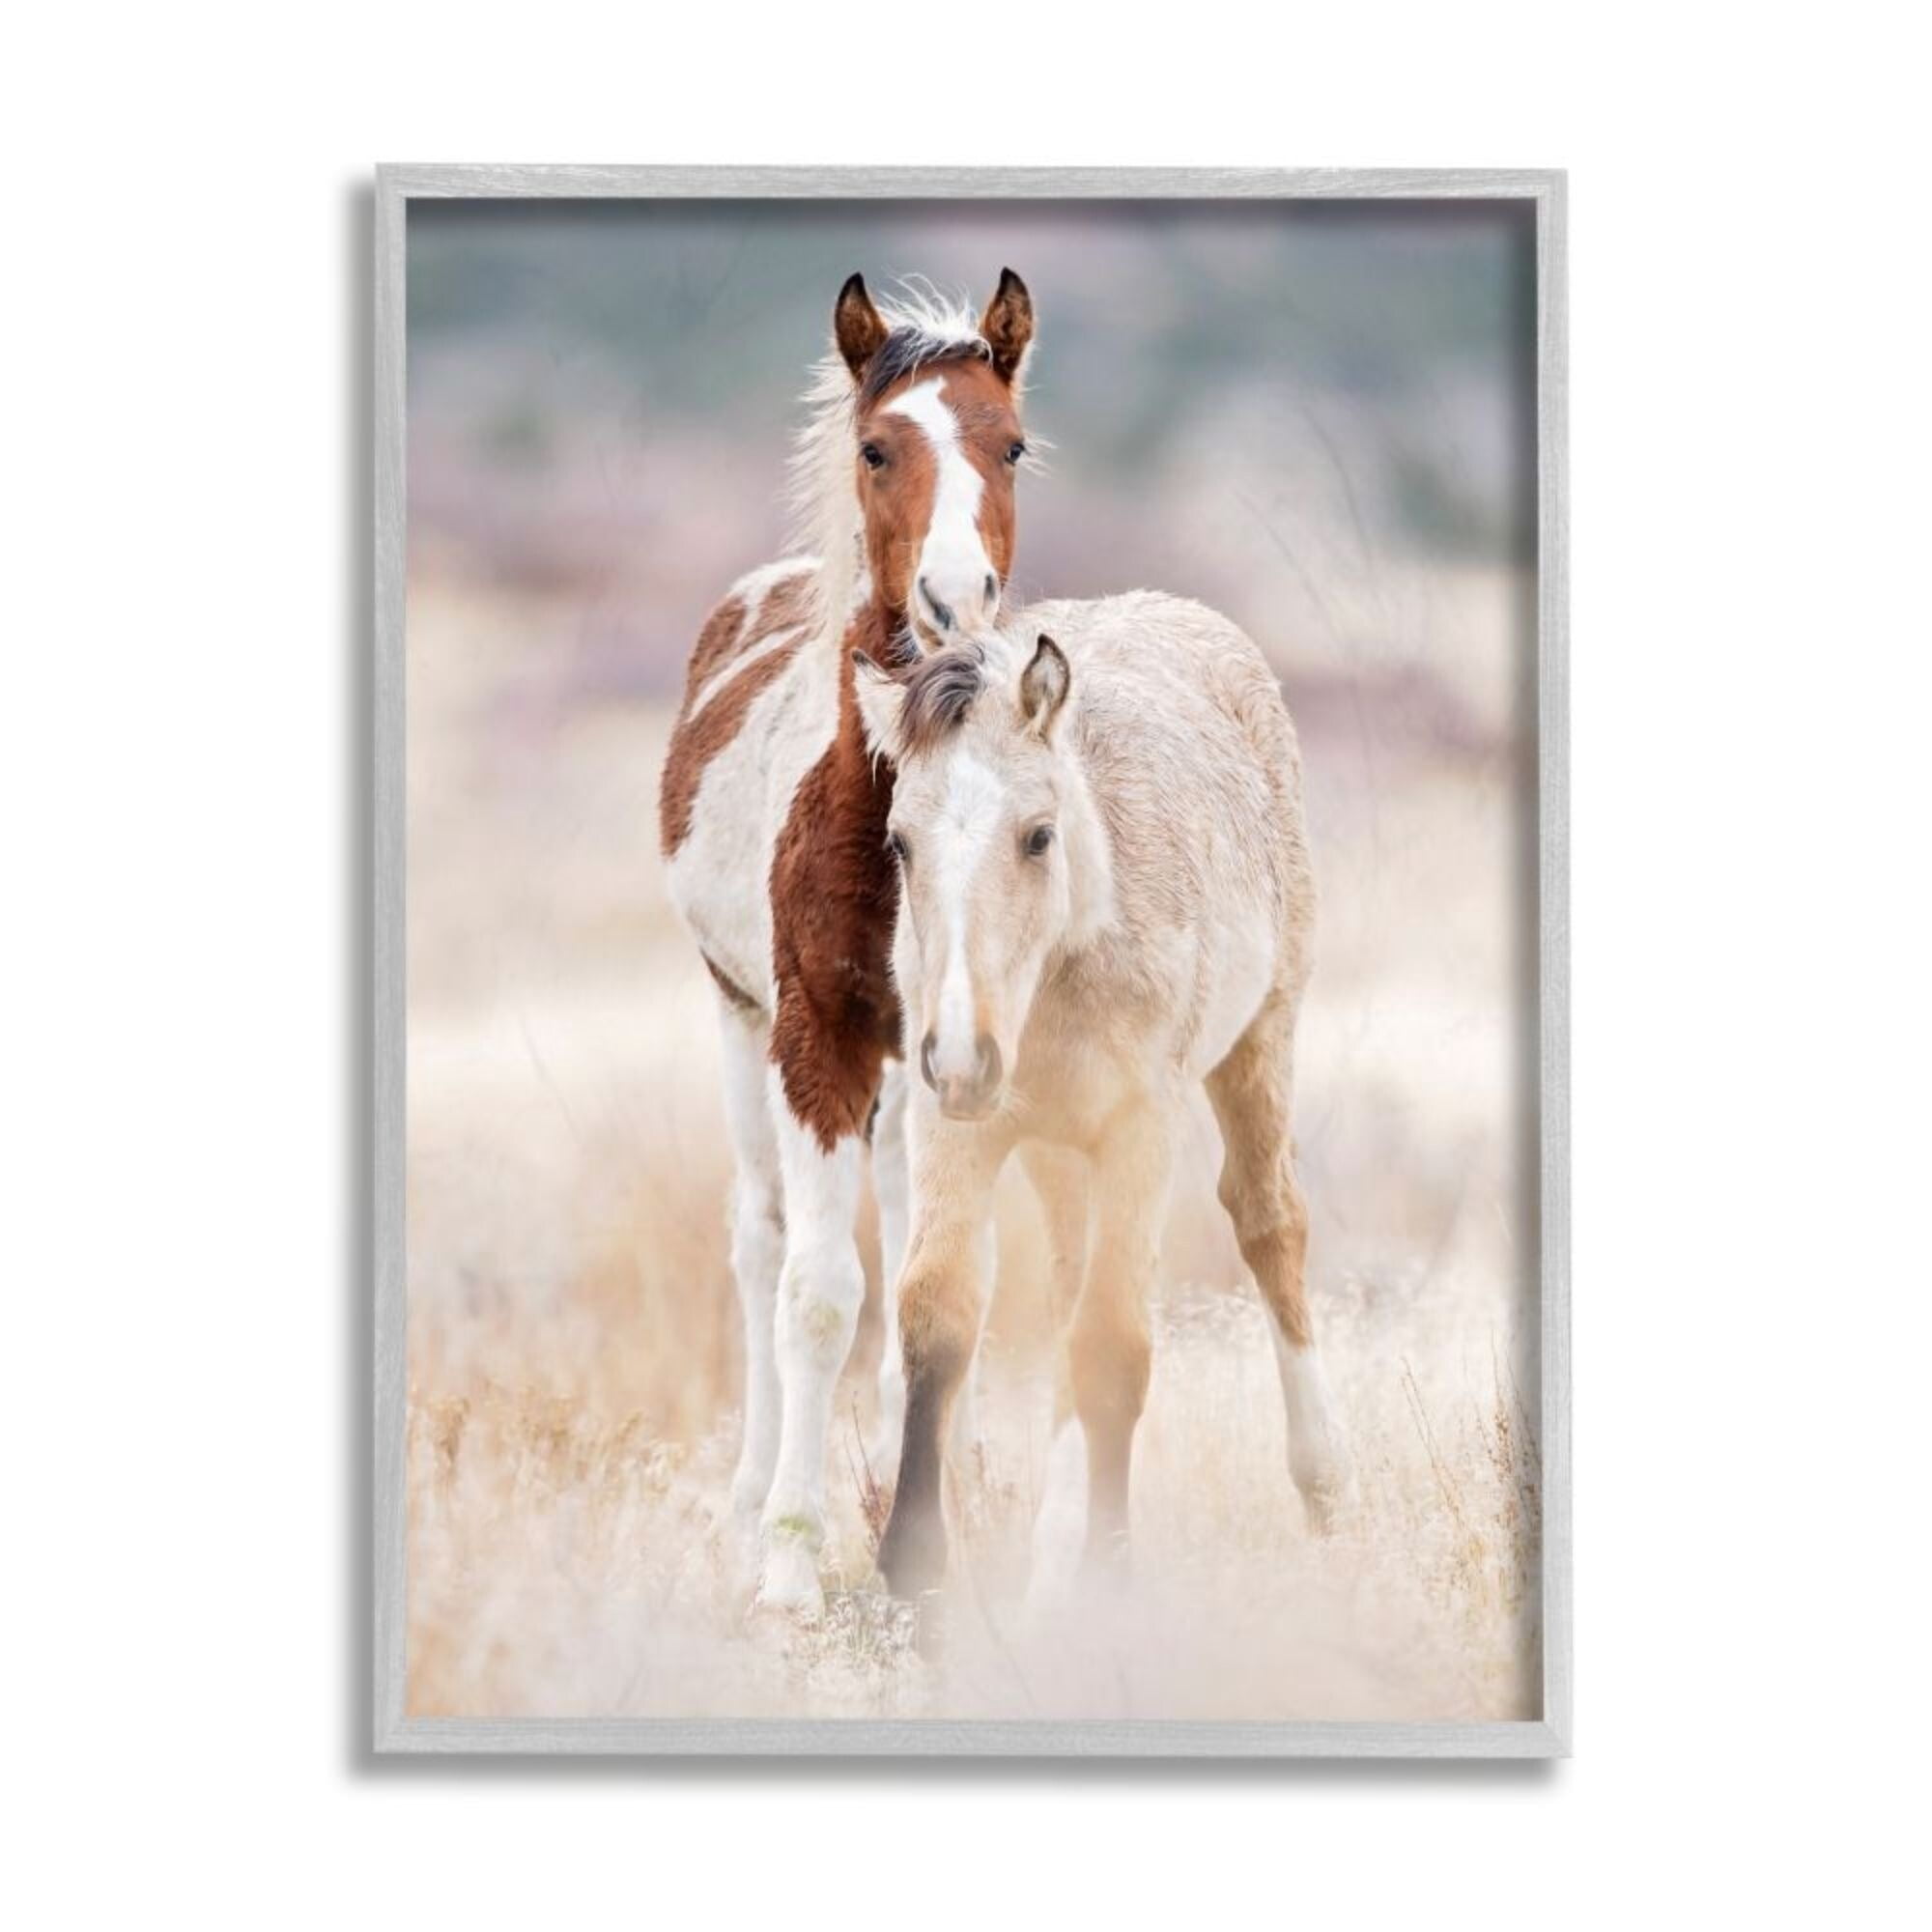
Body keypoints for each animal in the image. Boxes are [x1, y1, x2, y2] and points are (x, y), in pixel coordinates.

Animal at [657, 270, 1037, 1614]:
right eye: (877, 448)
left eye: (1009, 443)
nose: (952, 605)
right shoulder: (813, 1035)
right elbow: (817, 1293)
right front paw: (788, 1559)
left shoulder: (951, 1053)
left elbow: (941, 1286)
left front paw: (941, 1527)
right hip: (738, 1025)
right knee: (762, 1240)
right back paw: (747, 1504)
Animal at [853, 602, 1350, 1603]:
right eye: (900, 843)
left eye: (1038, 835)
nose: (961, 1055)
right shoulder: (956, 1127)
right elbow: (938, 1315)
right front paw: (916, 1571)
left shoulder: (1138, 1131)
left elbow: (1116, 1346)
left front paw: (1106, 1575)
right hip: (1054, 1151)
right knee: (1068, 1284)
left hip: (1261, 1039)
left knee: (1270, 1222)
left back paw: (1321, 1484)